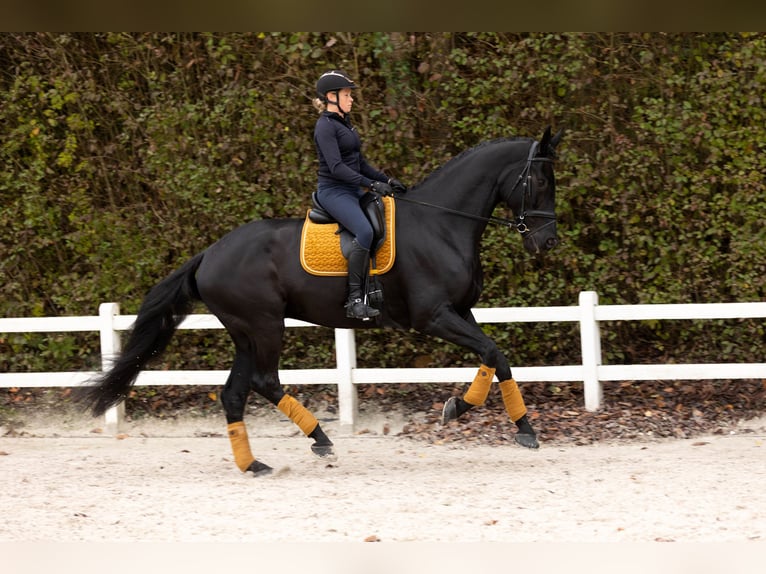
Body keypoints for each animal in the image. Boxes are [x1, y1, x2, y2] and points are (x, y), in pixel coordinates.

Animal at [79, 126, 564, 476]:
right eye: (540, 180)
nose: (548, 242)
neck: (441, 223)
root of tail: (209, 254)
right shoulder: (434, 316)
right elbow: (492, 353)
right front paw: (466, 411)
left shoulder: (461, 311)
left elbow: (496, 357)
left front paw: (516, 425)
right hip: (264, 325)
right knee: (264, 381)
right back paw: (320, 439)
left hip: (244, 333)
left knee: (234, 393)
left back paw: (254, 464)